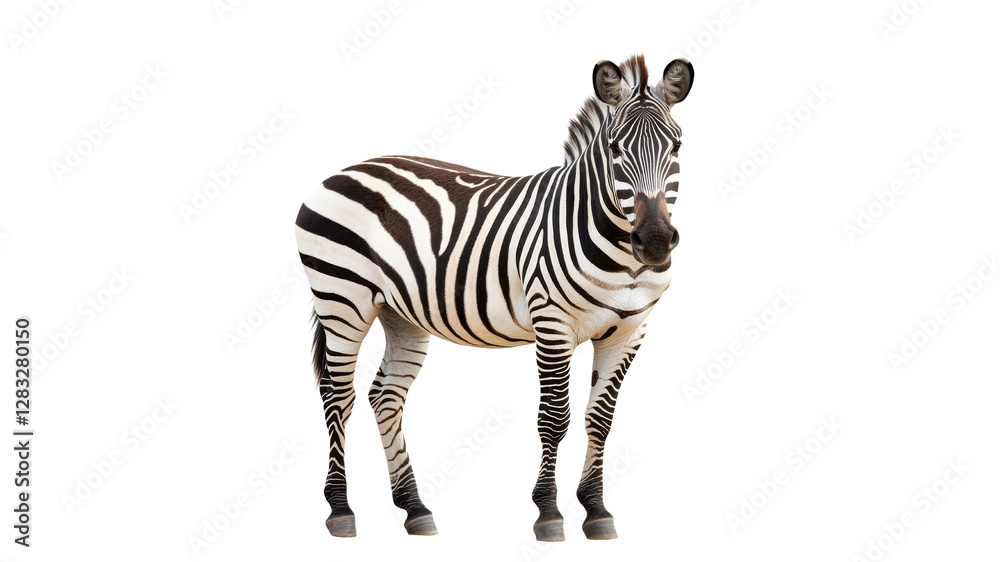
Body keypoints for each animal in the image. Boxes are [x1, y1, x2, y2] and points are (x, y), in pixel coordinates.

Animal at [295, 54, 693, 541]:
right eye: (616, 149)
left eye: (677, 147)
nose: (654, 241)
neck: (623, 257)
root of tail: (346, 169)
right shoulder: (552, 324)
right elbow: (554, 417)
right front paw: (549, 512)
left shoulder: (629, 332)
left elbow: (599, 420)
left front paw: (596, 510)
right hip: (341, 300)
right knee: (337, 396)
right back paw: (340, 508)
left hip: (400, 312)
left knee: (384, 396)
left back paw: (414, 507)